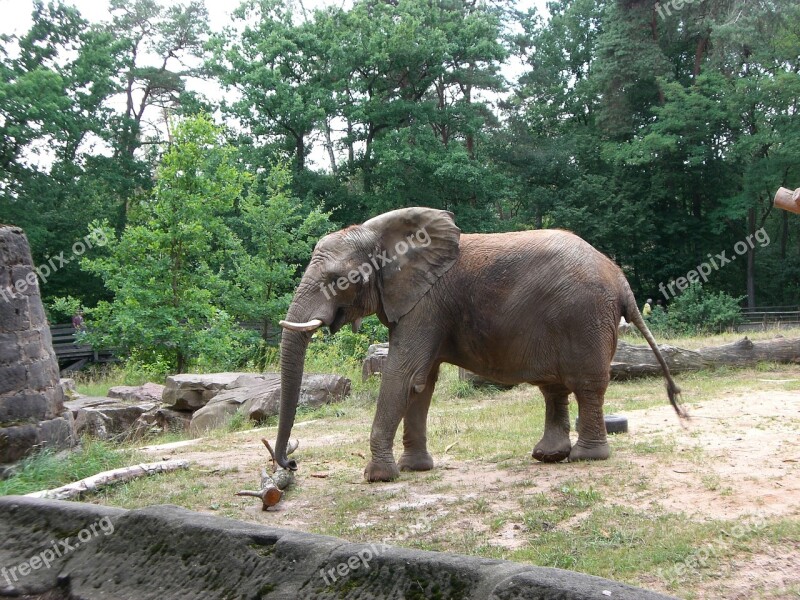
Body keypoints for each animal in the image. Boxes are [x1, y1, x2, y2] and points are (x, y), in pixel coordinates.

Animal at [276, 207, 688, 482]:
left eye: (338, 280)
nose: (291, 463)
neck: (381, 234)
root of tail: (621, 279)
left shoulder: (426, 305)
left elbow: (402, 373)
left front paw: (378, 477)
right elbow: (421, 382)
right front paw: (414, 469)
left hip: (584, 317)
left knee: (586, 385)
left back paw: (587, 458)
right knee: (554, 388)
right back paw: (549, 456)